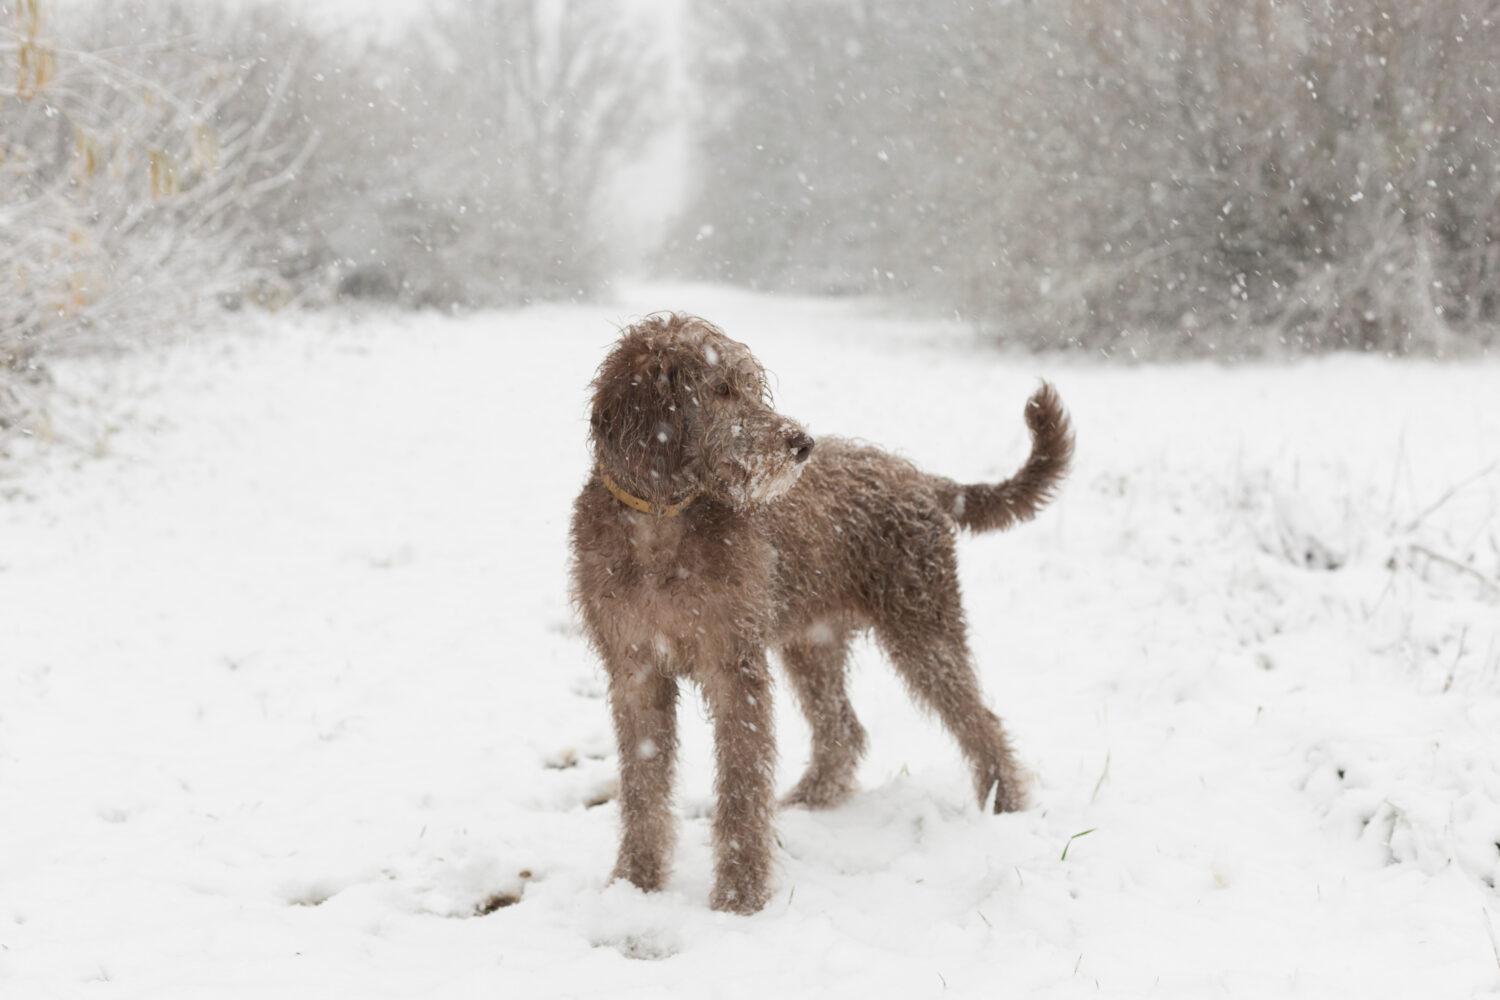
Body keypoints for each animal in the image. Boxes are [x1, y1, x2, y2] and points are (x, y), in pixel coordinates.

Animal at [567, 313, 1074, 917]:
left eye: (750, 385)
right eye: (720, 389)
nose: (801, 443)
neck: (660, 524)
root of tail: (922, 479)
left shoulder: (735, 669)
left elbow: (741, 785)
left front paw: (740, 897)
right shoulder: (635, 671)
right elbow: (642, 788)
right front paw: (634, 885)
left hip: (922, 628)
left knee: (981, 721)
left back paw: (1005, 805)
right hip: (813, 643)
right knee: (843, 730)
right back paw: (813, 799)